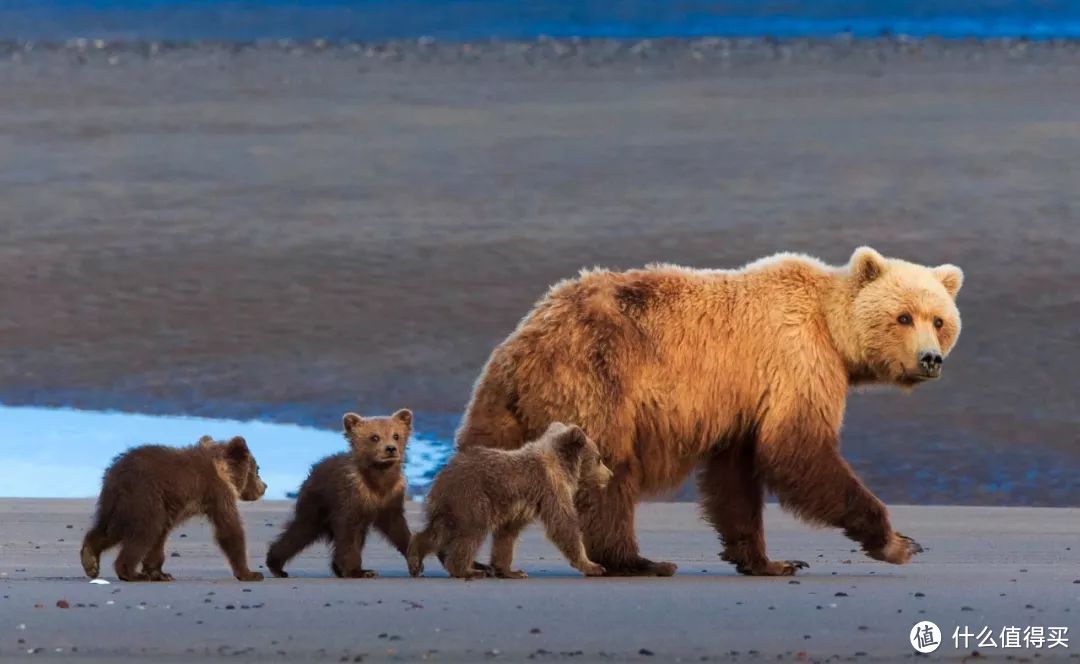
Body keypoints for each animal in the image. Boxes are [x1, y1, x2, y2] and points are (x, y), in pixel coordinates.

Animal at [79, 438, 265, 583]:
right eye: (257, 470)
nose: (264, 487)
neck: (223, 470)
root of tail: (116, 473)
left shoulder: (171, 506)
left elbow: (160, 538)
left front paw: (160, 574)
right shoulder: (217, 492)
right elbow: (229, 529)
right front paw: (250, 574)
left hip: (116, 503)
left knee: (110, 530)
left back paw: (90, 560)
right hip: (142, 495)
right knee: (145, 531)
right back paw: (131, 573)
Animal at [265, 408, 412, 578]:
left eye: (396, 435)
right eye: (374, 437)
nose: (390, 449)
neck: (378, 480)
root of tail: (315, 468)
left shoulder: (391, 497)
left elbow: (397, 528)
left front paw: (415, 561)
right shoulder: (350, 497)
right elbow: (348, 534)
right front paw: (357, 571)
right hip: (316, 504)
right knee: (301, 530)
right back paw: (276, 566)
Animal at [406, 423, 613, 578]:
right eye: (599, 458)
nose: (610, 474)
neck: (562, 467)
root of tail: (441, 475)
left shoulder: (518, 508)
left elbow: (507, 536)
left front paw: (511, 571)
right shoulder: (551, 489)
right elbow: (563, 525)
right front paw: (593, 566)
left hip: (451, 505)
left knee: (438, 532)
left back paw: (416, 558)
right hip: (472, 498)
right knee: (471, 532)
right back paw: (468, 570)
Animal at [453, 249, 963, 578]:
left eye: (939, 320)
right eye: (903, 317)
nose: (930, 359)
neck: (833, 333)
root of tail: (527, 339)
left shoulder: (744, 402)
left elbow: (736, 478)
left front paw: (767, 561)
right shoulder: (795, 362)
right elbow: (797, 450)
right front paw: (897, 542)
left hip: (503, 400)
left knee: (482, 452)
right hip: (597, 381)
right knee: (609, 472)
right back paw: (637, 561)